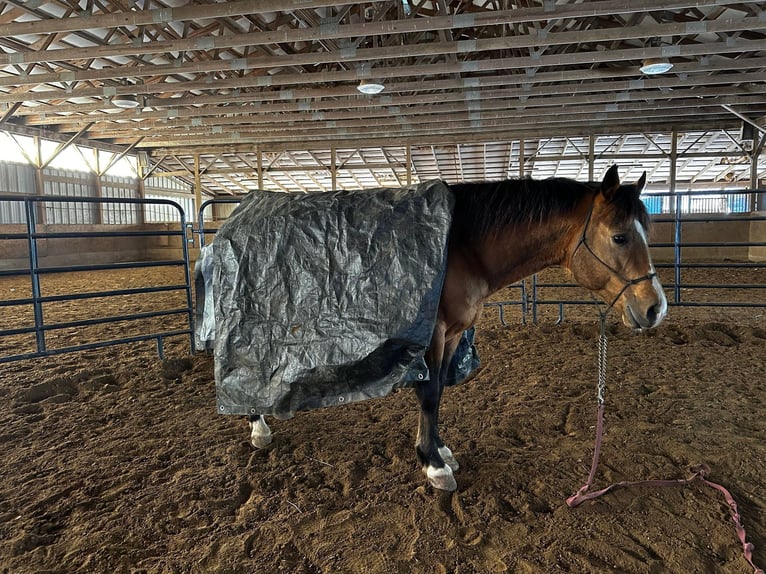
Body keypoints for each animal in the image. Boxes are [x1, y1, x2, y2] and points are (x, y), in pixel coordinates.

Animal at [248, 164, 664, 492]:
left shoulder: (451, 335)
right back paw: (258, 426)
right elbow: (429, 394)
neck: (461, 246)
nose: (655, 307)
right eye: (619, 237)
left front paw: (441, 449)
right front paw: (433, 465)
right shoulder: (432, 332)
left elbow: (440, 392)